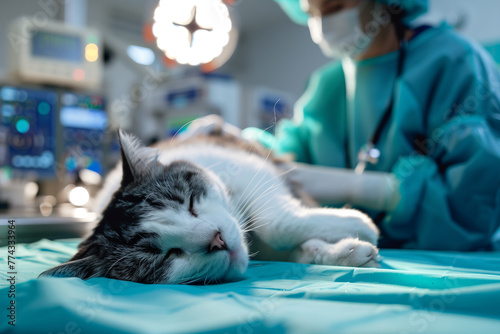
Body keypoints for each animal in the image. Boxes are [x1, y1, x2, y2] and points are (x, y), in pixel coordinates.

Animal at [41, 130, 380, 284]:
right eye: (165, 256)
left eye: (190, 203)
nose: (217, 239)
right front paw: (344, 251)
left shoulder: (250, 169)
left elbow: (276, 223)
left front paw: (359, 226)